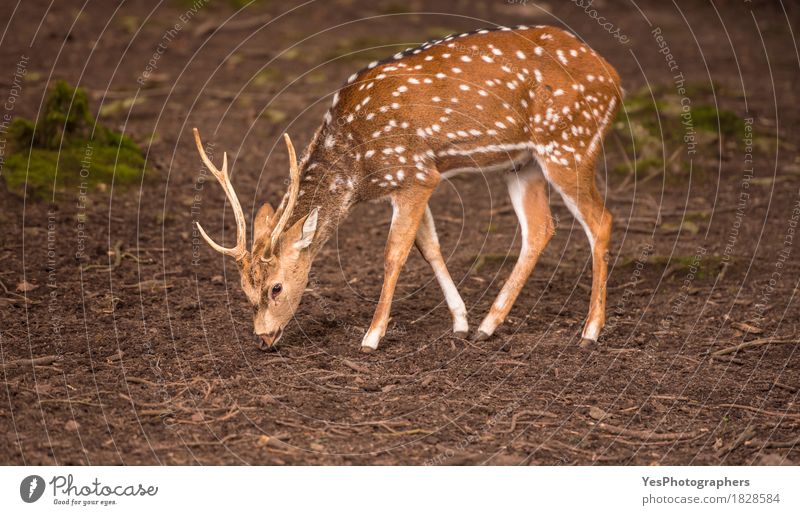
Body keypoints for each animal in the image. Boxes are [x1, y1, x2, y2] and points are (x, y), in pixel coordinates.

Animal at [197, 26, 620, 352]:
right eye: (244, 290)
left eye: (276, 288)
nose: (264, 338)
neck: (358, 166)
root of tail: (613, 76)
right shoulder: (414, 178)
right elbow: (429, 247)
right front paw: (461, 322)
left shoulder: (416, 173)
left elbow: (394, 253)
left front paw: (371, 337)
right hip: (523, 163)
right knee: (540, 228)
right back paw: (488, 326)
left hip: (568, 144)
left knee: (601, 220)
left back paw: (590, 332)